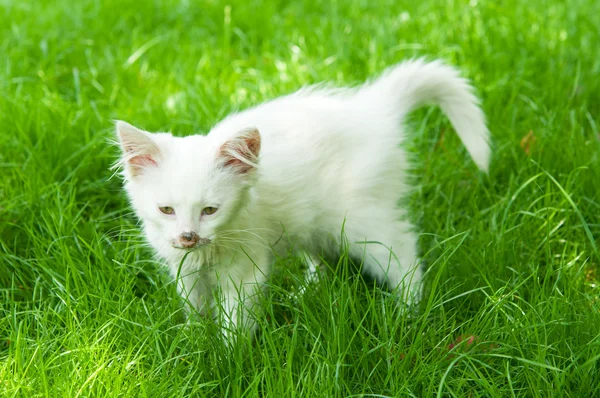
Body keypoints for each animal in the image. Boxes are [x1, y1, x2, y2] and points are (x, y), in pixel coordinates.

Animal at [115, 59, 490, 338]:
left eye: (210, 210)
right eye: (166, 209)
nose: (187, 236)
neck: (208, 252)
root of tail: (372, 108)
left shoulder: (245, 269)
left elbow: (235, 321)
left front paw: (229, 357)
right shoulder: (186, 271)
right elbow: (196, 308)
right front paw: (194, 340)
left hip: (361, 219)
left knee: (404, 253)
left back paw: (408, 312)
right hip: (311, 219)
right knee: (321, 259)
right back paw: (306, 295)